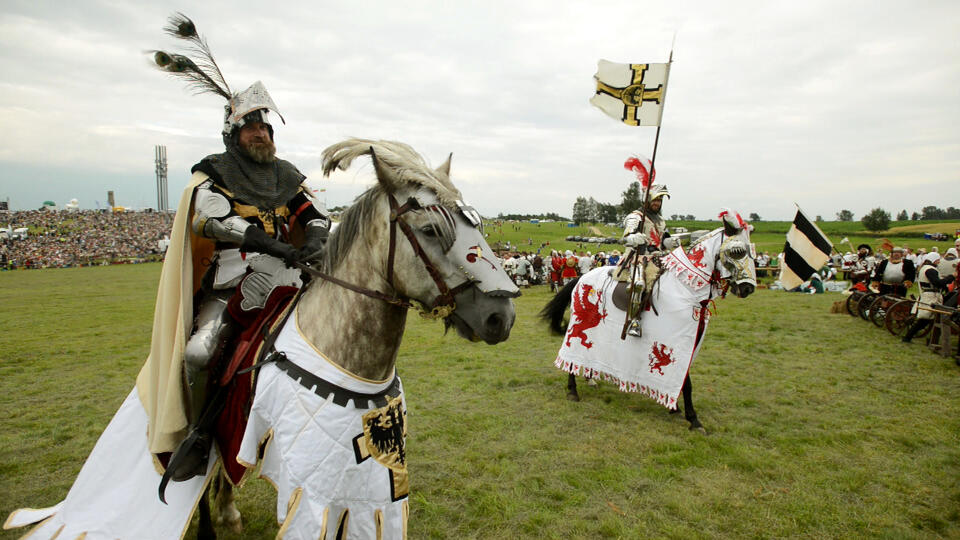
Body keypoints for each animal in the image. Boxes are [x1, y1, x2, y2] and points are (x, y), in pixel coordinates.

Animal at [540, 209, 756, 432]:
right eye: (737, 251)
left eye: (752, 252)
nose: (748, 288)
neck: (686, 289)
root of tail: (581, 278)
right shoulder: (679, 343)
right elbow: (686, 382)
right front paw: (693, 419)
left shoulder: (691, 344)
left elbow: (682, 380)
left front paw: (676, 408)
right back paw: (573, 390)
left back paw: (590, 377)